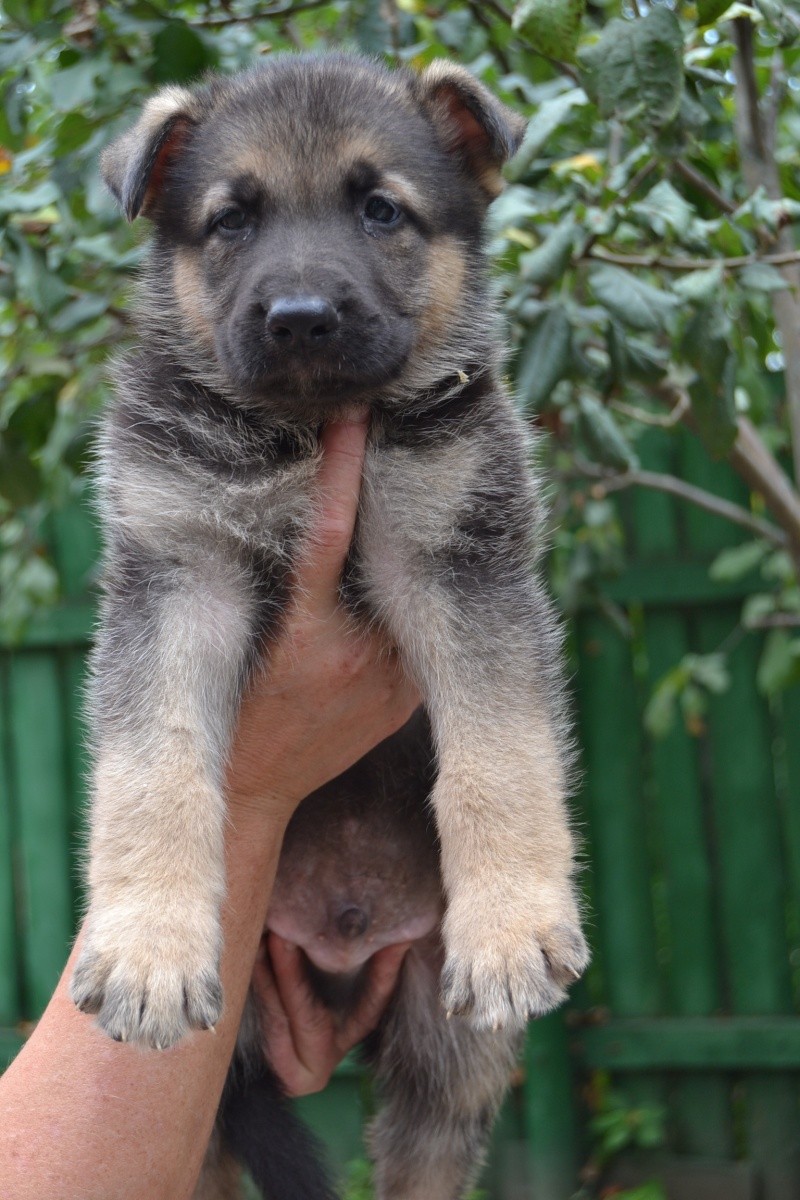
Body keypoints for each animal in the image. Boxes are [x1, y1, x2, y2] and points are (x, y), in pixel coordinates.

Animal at [73, 51, 587, 1195]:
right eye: (230, 220)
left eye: (379, 209)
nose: (300, 317)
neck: (305, 432)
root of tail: (344, 940)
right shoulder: (177, 570)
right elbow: (152, 769)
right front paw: (143, 944)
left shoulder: (458, 554)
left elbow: (497, 753)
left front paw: (515, 919)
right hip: (221, 1088)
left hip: (446, 1059)